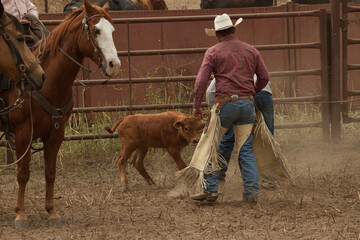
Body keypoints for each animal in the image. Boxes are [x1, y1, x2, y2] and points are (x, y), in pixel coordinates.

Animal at [0, 0, 121, 229]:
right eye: (96, 30)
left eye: (112, 31)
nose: (114, 65)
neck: (49, 83)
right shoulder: (23, 133)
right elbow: (23, 174)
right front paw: (21, 215)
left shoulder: (57, 134)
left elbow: (50, 173)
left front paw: (52, 212)